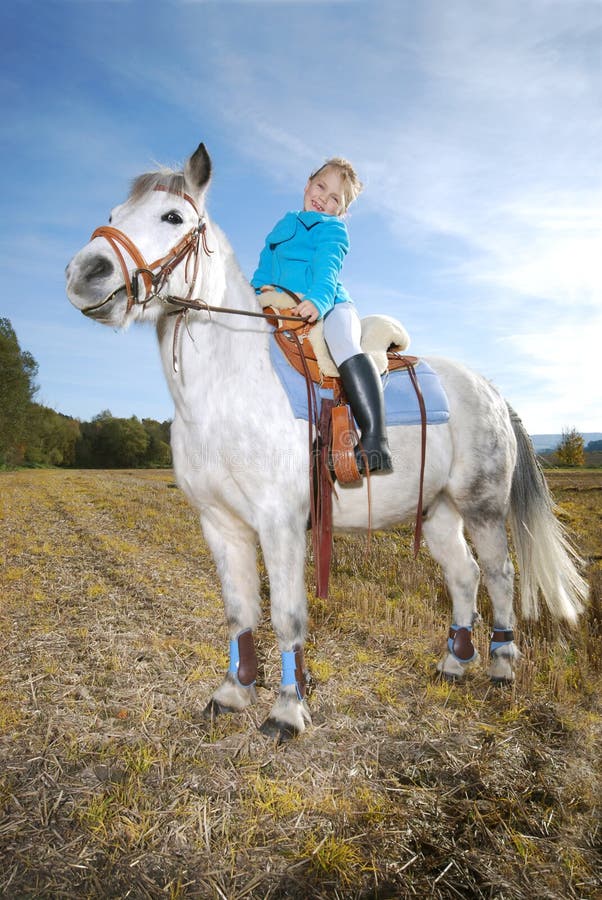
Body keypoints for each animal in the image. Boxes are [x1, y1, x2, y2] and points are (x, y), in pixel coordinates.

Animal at [67, 144, 584, 740]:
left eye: (172, 217)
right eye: (114, 211)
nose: (84, 273)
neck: (227, 388)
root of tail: (490, 388)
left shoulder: (281, 523)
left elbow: (288, 616)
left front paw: (288, 711)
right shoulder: (221, 525)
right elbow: (240, 612)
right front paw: (234, 692)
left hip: (482, 507)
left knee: (499, 577)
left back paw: (501, 667)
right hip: (437, 513)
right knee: (464, 576)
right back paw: (454, 663)